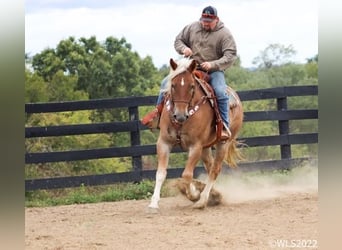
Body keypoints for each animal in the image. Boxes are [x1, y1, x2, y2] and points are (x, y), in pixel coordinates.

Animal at [148, 57, 243, 210]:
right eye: (173, 85)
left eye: (192, 86)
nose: (180, 115)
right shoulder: (164, 143)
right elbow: (161, 173)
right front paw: (154, 203)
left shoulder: (195, 146)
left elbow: (187, 175)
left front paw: (193, 194)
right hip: (206, 148)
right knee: (210, 167)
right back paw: (213, 194)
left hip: (224, 143)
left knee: (215, 170)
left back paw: (202, 200)